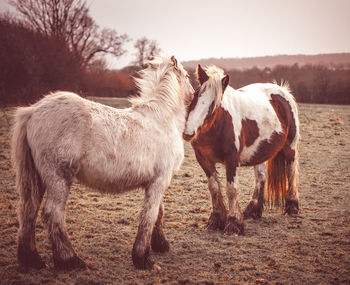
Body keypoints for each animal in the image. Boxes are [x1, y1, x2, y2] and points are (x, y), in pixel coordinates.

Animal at [10, 54, 193, 270]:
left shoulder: (156, 182)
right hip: (59, 177)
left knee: (28, 209)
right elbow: (149, 215)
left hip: (37, 178)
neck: (162, 119)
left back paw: (32, 259)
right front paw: (143, 259)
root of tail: (33, 111)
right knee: (52, 212)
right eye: (188, 76)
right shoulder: (159, 181)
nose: (193, 93)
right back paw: (70, 260)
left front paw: (160, 245)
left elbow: (158, 213)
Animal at [183, 64, 300, 235]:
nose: (188, 132)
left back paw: (292, 207)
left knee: (290, 172)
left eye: (213, 104)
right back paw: (253, 211)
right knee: (261, 176)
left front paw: (233, 223)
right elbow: (214, 188)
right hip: (259, 151)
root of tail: (283, 91)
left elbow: (231, 189)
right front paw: (215, 220)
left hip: (290, 147)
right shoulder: (204, 160)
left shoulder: (231, 161)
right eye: (196, 95)